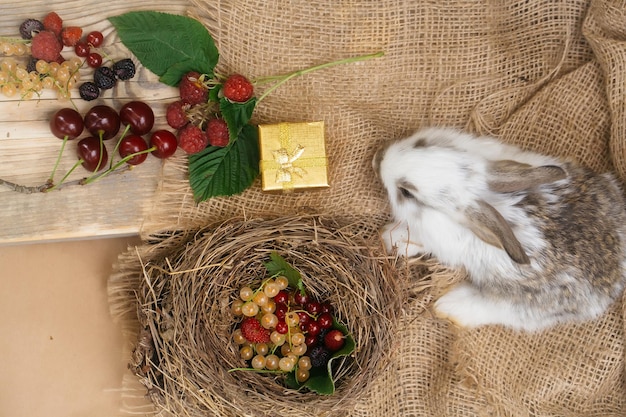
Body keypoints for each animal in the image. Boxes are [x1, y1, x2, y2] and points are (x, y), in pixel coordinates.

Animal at [372, 127, 620, 332]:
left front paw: (389, 238)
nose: (378, 159)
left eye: (406, 192)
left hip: (524, 305)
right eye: (421, 144)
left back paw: (448, 307)